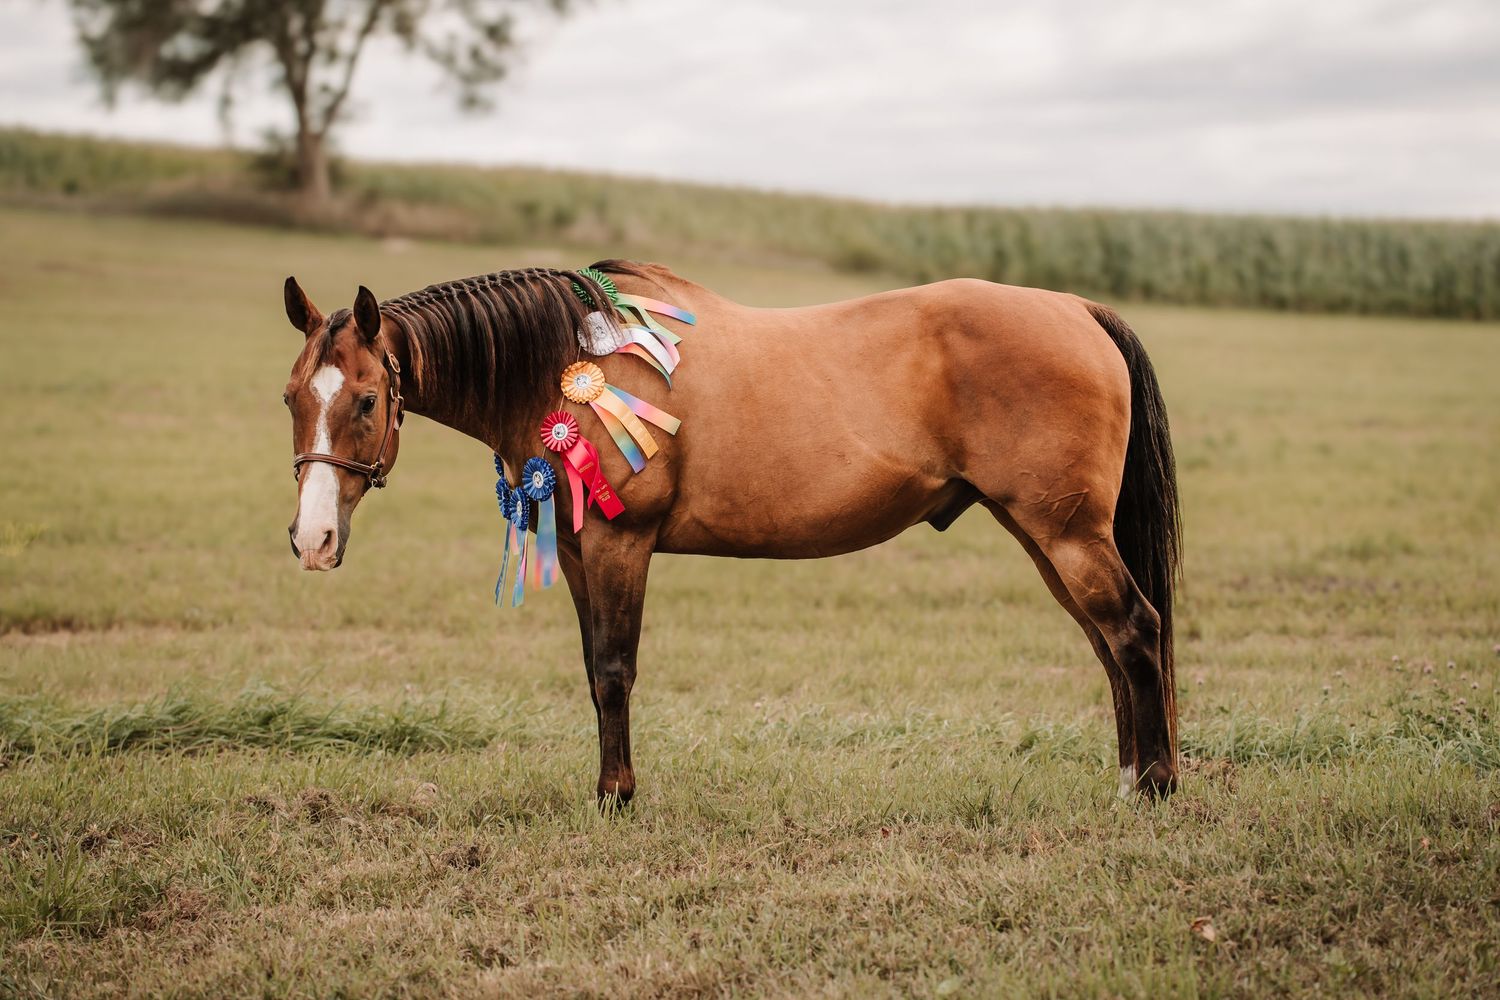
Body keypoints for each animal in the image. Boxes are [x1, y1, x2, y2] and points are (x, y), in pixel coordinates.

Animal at [280, 262, 1181, 803]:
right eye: (290, 396)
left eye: (367, 399)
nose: (311, 540)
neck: (570, 365)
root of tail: (1076, 310)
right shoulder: (575, 551)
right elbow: (592, 672)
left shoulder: (620, 546)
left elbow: (614, 672)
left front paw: (617, 796)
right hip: (1047, 537)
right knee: (1109, 645)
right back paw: (1131, 777)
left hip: (1066, 534)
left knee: (1135, 632)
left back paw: (1157, 785)